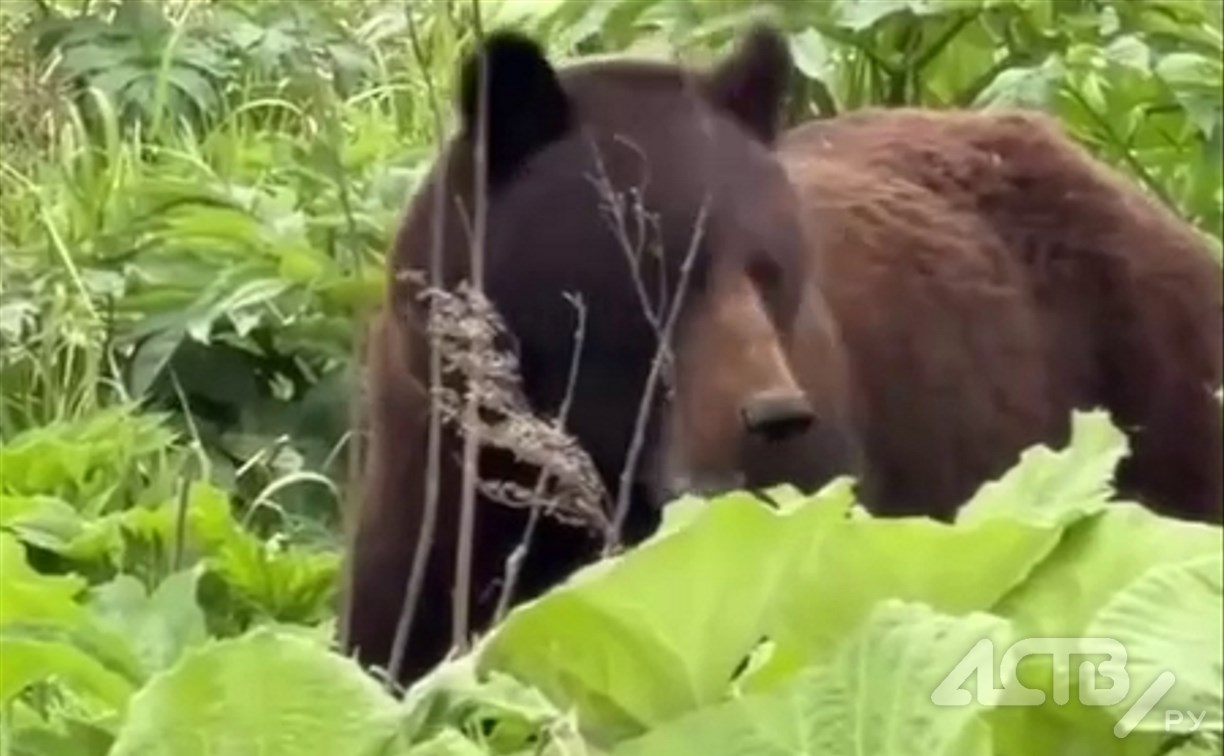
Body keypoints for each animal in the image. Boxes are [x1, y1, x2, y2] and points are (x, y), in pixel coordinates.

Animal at [340, 24, 1223, 688]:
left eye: (766, 268)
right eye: (658, 267)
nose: (771, 413)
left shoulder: (791, 529)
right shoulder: (439, 477)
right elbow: (397, 651)